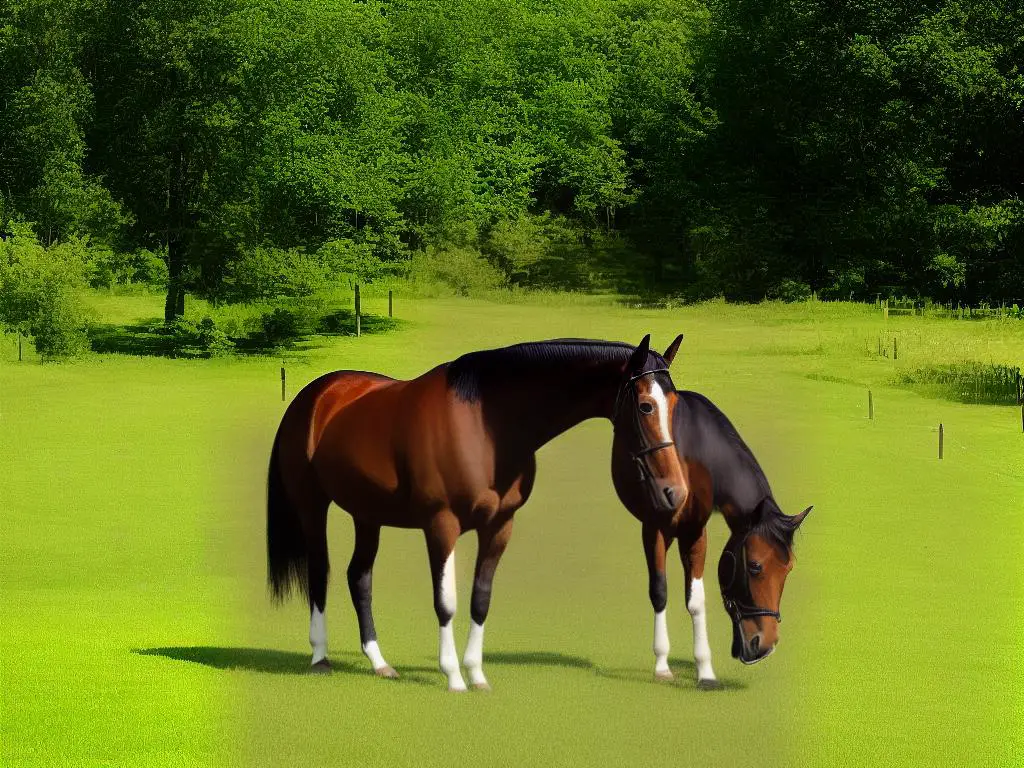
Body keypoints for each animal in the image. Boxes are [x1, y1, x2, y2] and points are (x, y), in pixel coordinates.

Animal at [270, 331, 688, 692]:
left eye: (674, 406)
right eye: (645, 405)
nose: (675, 491)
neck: (487, 427)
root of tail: (315, 395)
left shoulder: (499, 526)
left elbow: (480, 598)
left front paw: (476, 674)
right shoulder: (441, 525)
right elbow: (446, 602)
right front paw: (454, 677)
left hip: (367, 513)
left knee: (359, 577)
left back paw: (380, 663)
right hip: (313, 506)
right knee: (319, 572)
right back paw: (320, 657)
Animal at [610, 344, 811, 692]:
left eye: (788, 569)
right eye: (755, 566)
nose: (765, 645)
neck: (696, 456)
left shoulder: (694, 529)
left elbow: (696, 600)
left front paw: (704, 670)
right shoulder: (654, 526)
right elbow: (659, 591)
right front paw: (662, 664)